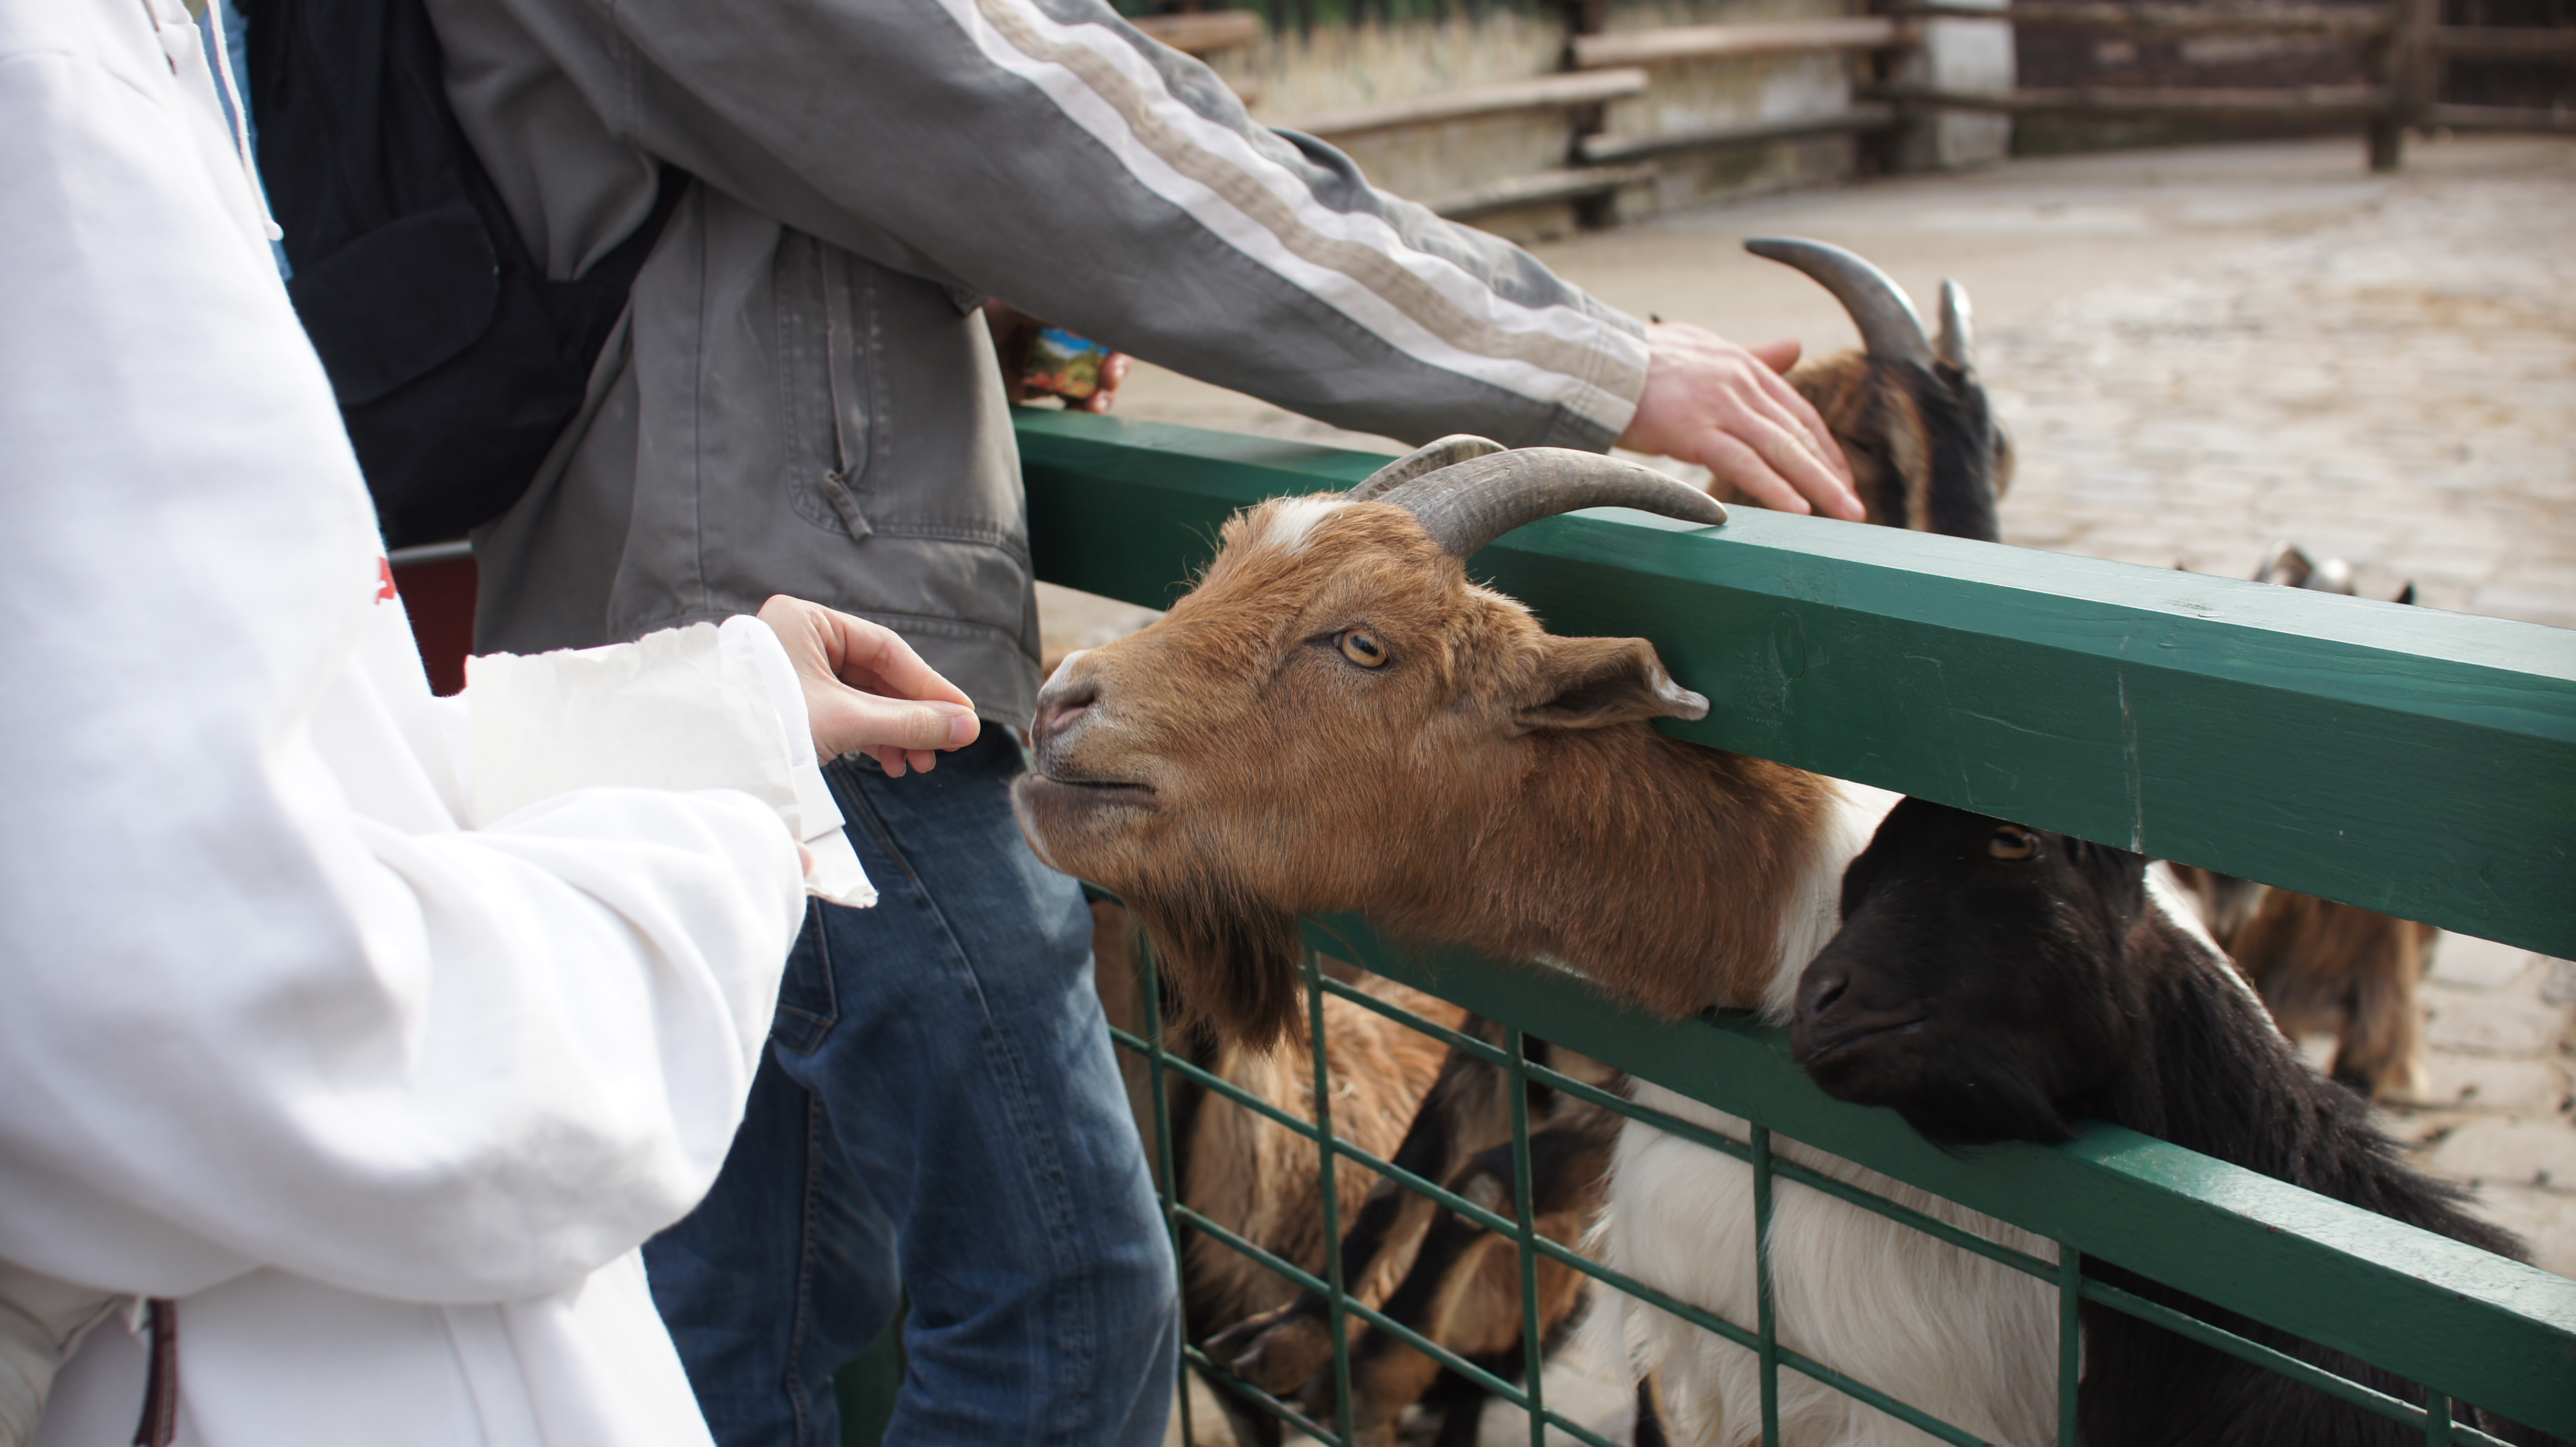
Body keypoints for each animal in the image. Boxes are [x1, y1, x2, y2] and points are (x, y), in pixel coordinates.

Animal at [1015, 437, 2056, 1446]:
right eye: (1221, 567)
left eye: (1364, 645)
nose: (1058, 700)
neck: (1786, 915)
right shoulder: (1515, 1036)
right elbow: (1420, 1160)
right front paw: (1295, 1336)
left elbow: (1485, 1178)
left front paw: (1370, 1372)